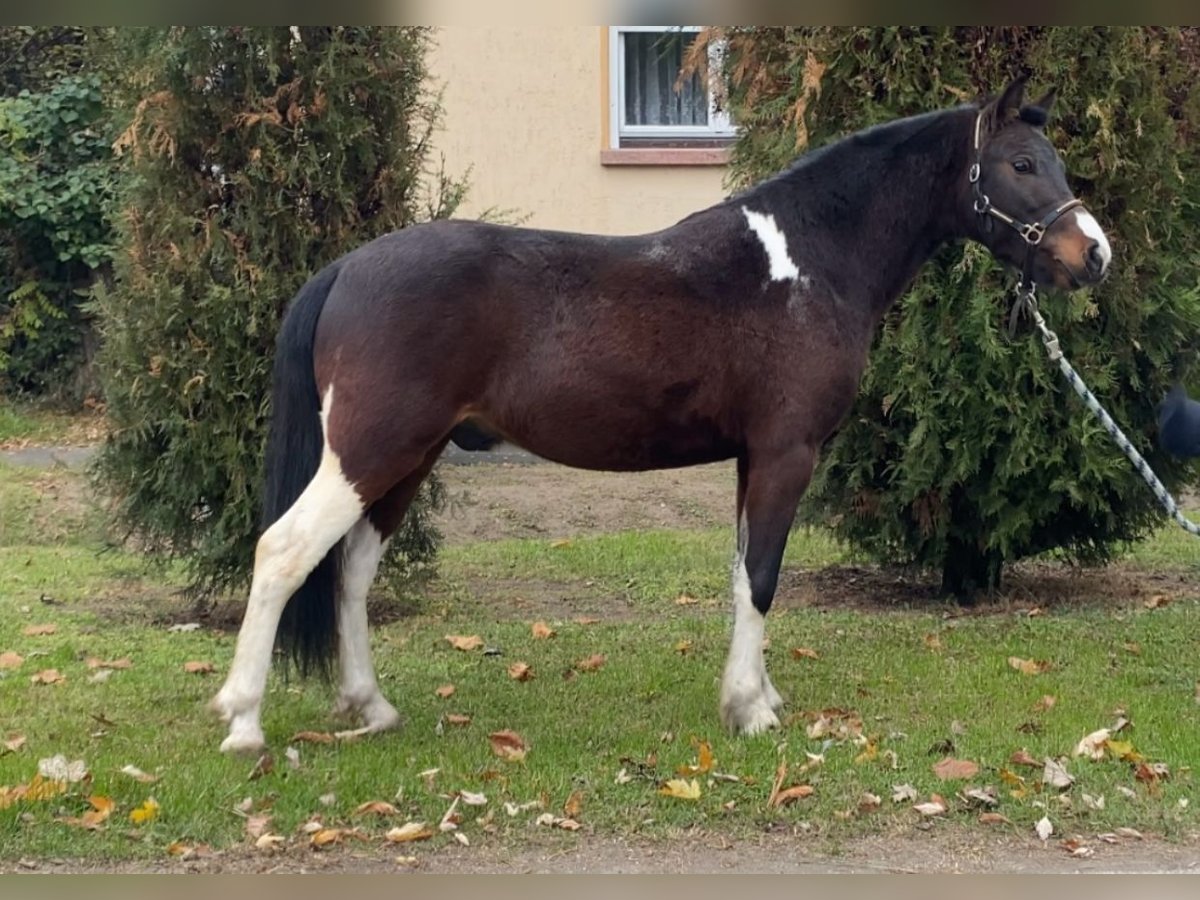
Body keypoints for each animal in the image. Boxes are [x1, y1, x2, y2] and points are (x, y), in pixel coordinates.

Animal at [211, 77, 1108, 753]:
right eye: (1022, 163)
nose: (1093, 253)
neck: (808, 260)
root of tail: (347, 268)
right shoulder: (786, 451)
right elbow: (763, 576)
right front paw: (751, 711)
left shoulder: (752, 457)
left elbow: (743, 573)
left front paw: (755, 696)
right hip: (372, 450)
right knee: (285, 552)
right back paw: (243, 723)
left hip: (405, 459)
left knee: (353, 571)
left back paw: (371, 707)